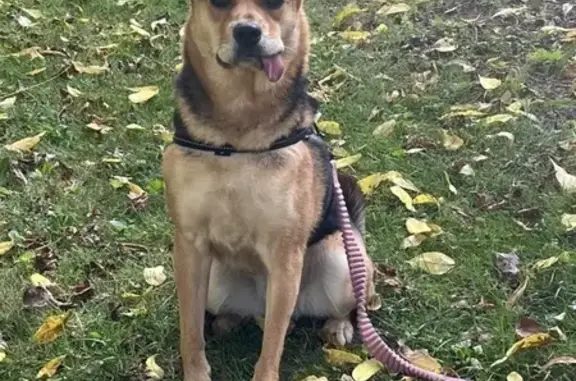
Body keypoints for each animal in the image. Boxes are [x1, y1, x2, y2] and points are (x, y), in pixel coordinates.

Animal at [162, 0, 378, 380]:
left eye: (274, 3)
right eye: (218, 3)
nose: (248, 32)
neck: (238, 135)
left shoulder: (285, 255)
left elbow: (271, 348)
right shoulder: (189, 248)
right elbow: (190, 331)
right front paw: (196, 371)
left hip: (341, 261)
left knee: (348, 306)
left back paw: (338, 324)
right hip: (214, 281)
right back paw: (227, 321)